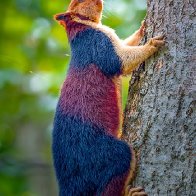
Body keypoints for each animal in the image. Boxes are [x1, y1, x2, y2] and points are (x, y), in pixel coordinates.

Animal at [52, 0, 165, 196]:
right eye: (79, 1)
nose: (101, 1)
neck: (81, 26)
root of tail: (71, 186)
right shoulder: (97, 44)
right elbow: (121, 60)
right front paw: (151, 44)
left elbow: (125, 43)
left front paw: (143, 28)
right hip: (109, 154)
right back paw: (129, 193)